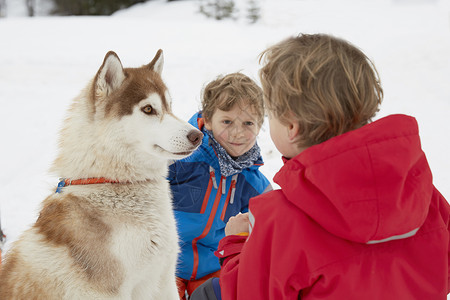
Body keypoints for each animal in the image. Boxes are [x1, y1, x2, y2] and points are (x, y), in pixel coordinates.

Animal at [0, 50, 202, 298]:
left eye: (169, 105)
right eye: (148, 109)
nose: (198, 135)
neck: (112, 180)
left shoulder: (164, 280)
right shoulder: (108, 291)